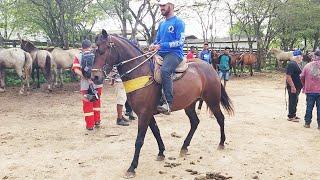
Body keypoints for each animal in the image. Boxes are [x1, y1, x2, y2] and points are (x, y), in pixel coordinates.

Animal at [91, 29, 234, 177]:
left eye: (102, 50)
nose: (95, 77)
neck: (140, 73)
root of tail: (210, 68)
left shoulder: (144, 114)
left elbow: (139, 140)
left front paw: (132, 167)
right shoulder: (147, 114)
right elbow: (156, 132)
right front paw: (161, 152)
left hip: (212, 101)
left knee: (220, 118)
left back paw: (221, 143)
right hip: (189, 105)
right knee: (195, 122)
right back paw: (184, 147)